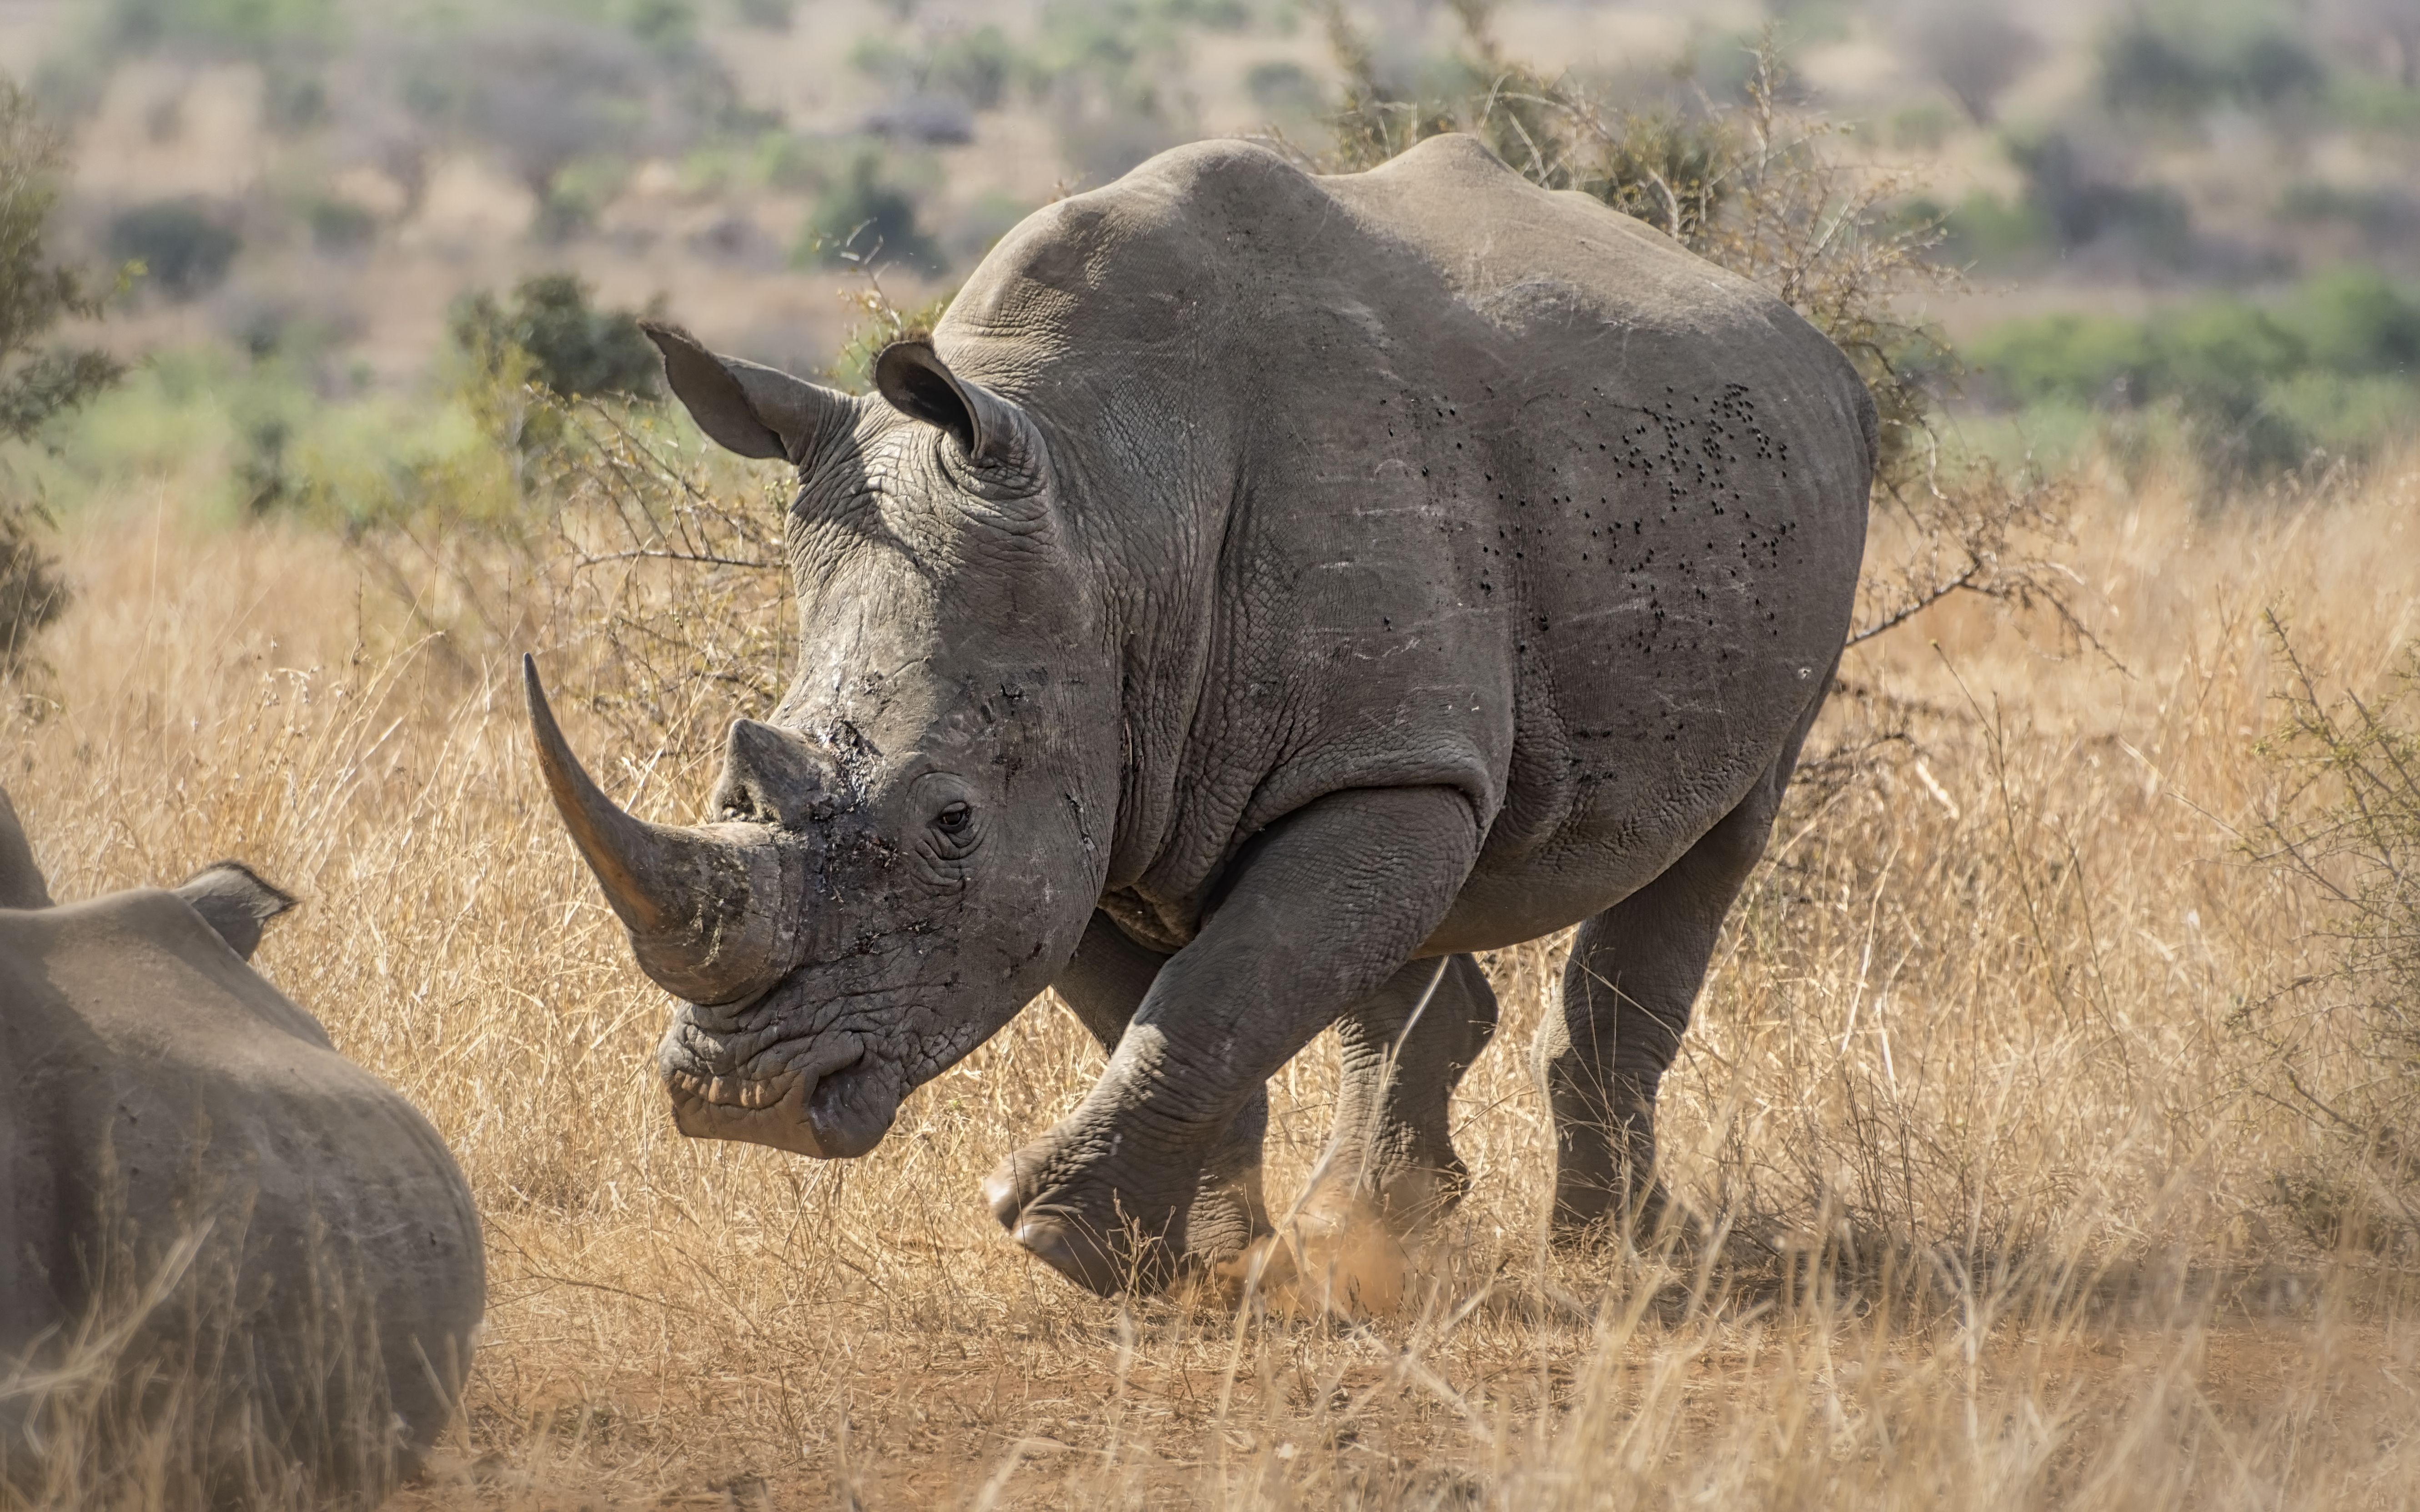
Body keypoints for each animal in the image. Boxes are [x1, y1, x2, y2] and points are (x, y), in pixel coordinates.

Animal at [525, 134, 1873, 1295]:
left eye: (949, 821)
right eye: (732, 790)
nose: (741, 1101)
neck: (1111, 502)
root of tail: (1793, 328)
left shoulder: (1340, 762)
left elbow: (1216, 993)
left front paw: (1060, 1238)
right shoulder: (1093, 789)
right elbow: (1177, 1001)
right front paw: (1184, 1263)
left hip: (1795, 492)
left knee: (1718, 837)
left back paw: (1619, 1259)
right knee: (1400, 914)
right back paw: (1377, 1225)